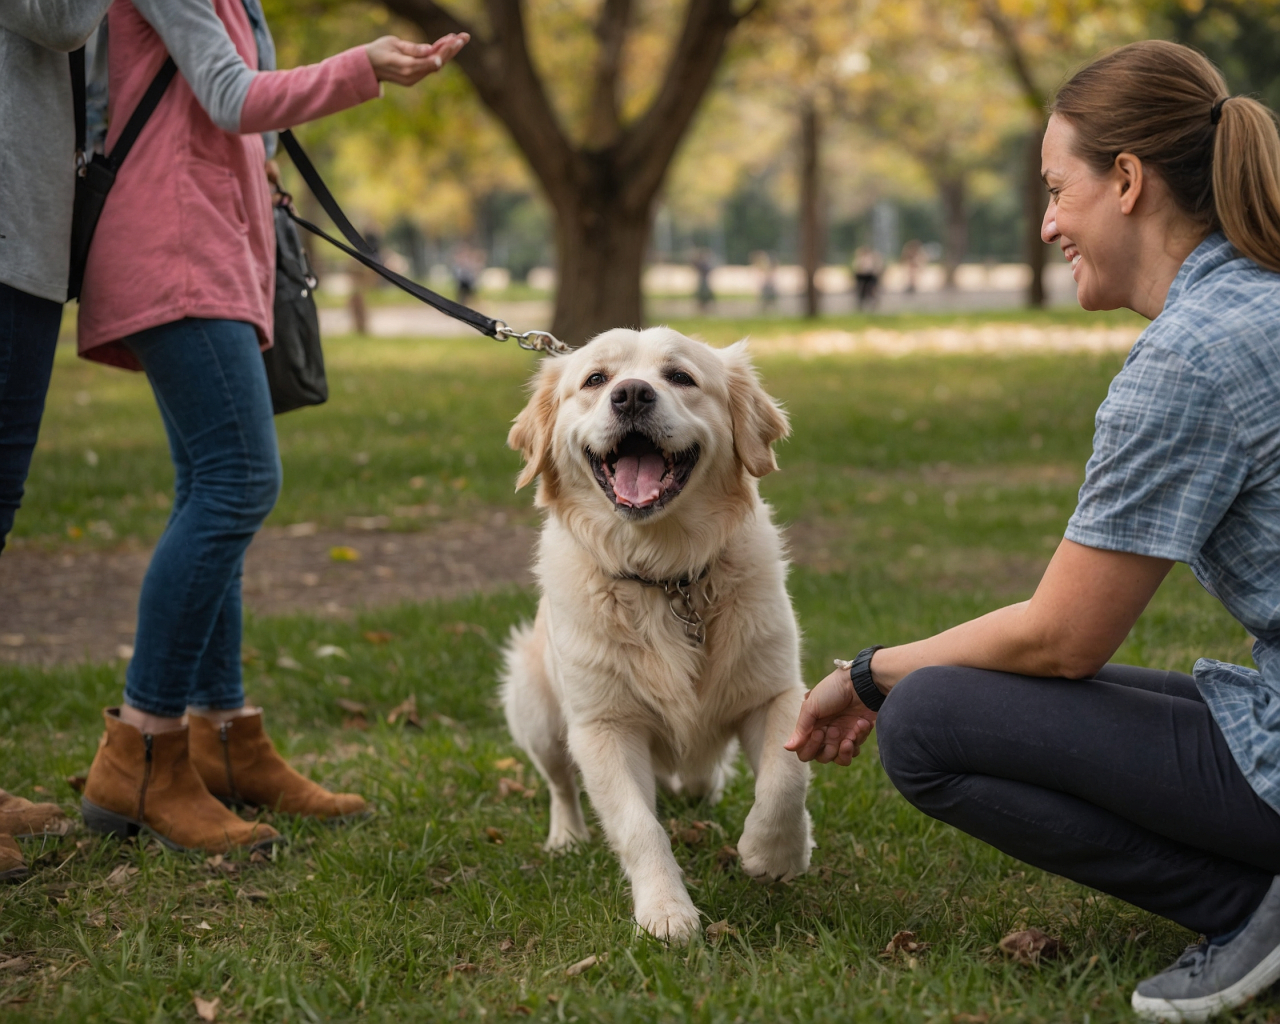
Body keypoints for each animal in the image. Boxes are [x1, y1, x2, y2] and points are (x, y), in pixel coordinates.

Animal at [496, 327, 808, 942]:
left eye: (680, 377)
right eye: (595, 379)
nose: (632, 395)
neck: (665, 577)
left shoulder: (776, 690)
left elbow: (786, 777)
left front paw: (775, 852)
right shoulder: (604, 726)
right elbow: (639, 826)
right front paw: (666, 911)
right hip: (534, 705)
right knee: (560, 784)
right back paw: (566, 837)